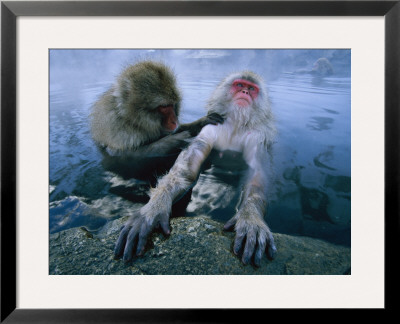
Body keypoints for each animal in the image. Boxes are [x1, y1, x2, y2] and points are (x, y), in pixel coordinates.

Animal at [90, 60, 225, 181]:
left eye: (172, 104)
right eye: (164, 107)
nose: (175, 121)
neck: (132, 120)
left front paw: (200, 122)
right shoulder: (119, 131)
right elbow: (123, 156)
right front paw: (175, 140)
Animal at [115, 69, 278, 264]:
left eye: (252, 88)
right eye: (239, 85)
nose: (245, 92)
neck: (236, 125)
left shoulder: (257, 138)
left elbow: (256, 175)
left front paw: (251, 218)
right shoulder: (210, 128)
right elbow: (187, 168)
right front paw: (154, 208)